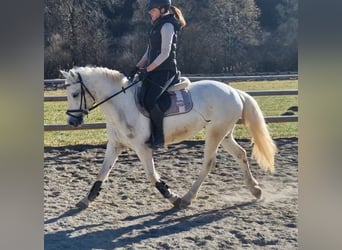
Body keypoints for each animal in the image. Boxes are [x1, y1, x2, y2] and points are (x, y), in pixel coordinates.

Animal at [60, 66, 276, 209]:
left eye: (75, 93)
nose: (72, 121)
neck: (120, 104)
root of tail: (234, 91)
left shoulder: (142, 147)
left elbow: (151, 175)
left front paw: (173, 197)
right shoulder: (115, 145)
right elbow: (101, 173)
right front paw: (85, 200)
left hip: (215, 133)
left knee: (208, 163)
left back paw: (187, 197)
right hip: (225, 134)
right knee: (240, 154)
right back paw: (255, 190)